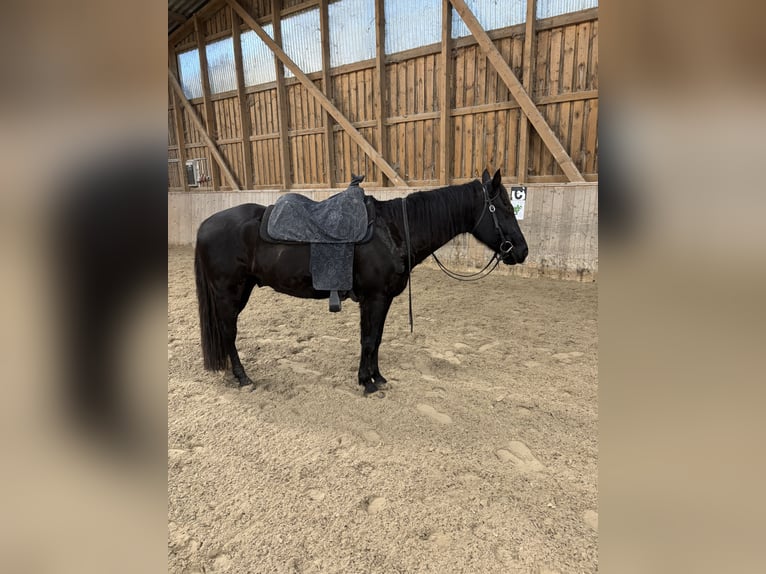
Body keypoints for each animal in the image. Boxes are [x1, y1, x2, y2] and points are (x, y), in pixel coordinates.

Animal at [194, 169, 528, 396]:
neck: (393, 230)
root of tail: (205, 225)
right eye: (505, 209)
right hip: (229, 293)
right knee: (228, 333)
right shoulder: (374, 298)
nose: (522, 251)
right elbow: (368, 340)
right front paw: (366, 383)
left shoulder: (382, 300)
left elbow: (375, 339)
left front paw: (376, 377)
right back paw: (242, 377)